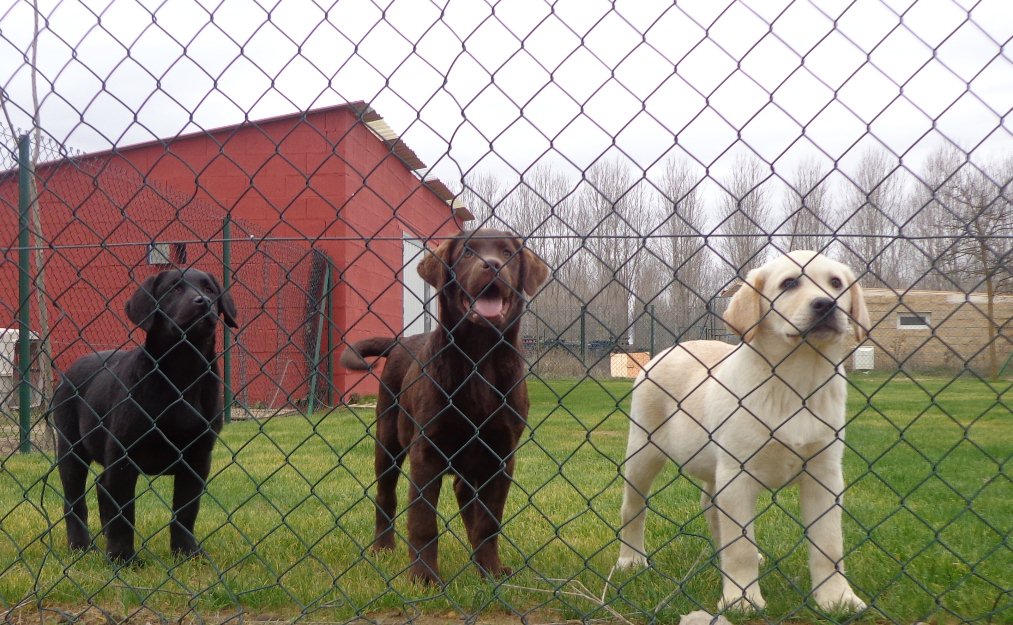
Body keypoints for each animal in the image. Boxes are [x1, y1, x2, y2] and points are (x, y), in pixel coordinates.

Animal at [54, 267, 238, 559]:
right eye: (173, 289)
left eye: (210, 289)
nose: (203, 302)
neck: (182, 373)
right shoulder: (123, 457)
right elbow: (124, 514)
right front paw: (122, 557)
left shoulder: (198, 459)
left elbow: (186, 512)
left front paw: (186, 552)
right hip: (70, 448)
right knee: (74, 501)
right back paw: (81, 545)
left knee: (101, 487)